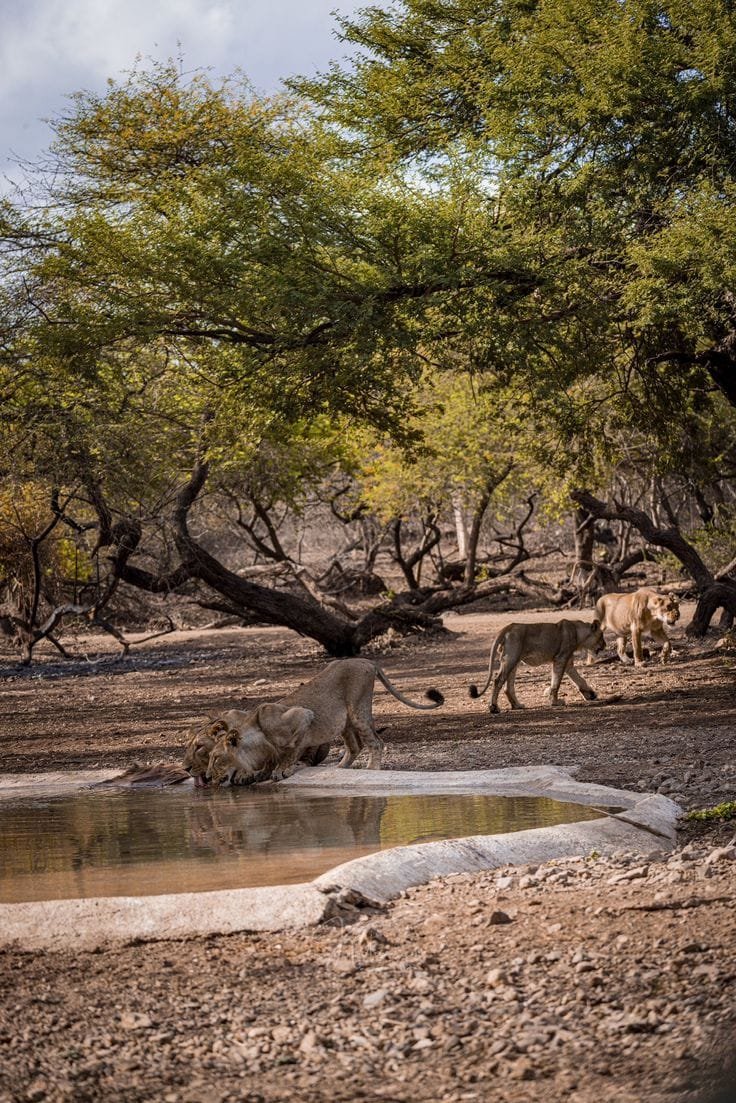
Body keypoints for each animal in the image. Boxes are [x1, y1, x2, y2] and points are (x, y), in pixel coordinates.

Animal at [204, 658, 444, 785]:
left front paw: (282, 770)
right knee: (355, 746)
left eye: (216, 758)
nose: (206, 777)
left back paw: (372, 769)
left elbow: (291, 751)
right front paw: (264, 772)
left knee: (376, 742)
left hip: (358, 709)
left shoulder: (303, 716)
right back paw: (340, 768)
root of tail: (367, 660)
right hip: (344, 722)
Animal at [469, 618, 605, 713]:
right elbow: (556, 683)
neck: (578, 633)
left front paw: (590, 694)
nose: (605, 645)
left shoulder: (568, 662)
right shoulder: (560, 659)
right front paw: (555, 702)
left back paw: (518, 705)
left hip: (513, 660)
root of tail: (508, 627)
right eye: (601, 636)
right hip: (511, 658)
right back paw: (494, 708)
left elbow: (579, 679)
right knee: (498, 681)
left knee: (508, 687)